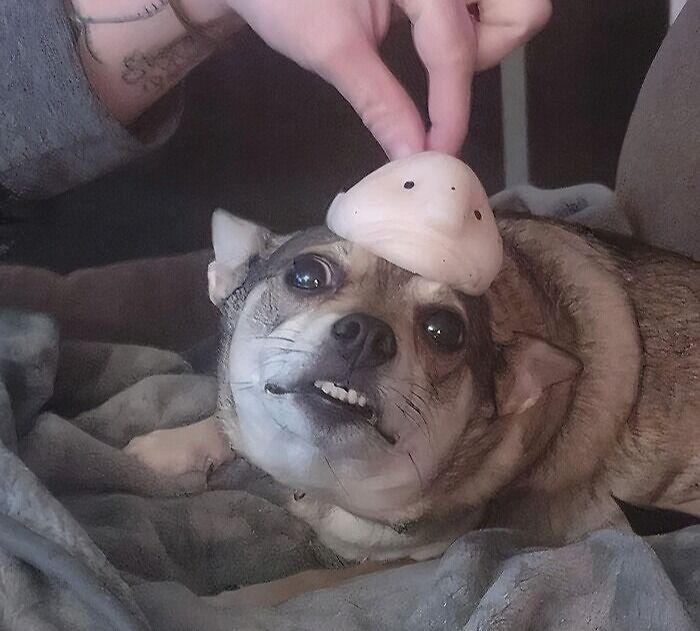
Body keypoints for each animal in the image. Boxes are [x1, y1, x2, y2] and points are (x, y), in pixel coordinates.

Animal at [126, 209, 700, 604]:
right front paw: (169, 447)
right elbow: (222, 423)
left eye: (444, 330)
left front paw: (236, 603)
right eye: (307, 274)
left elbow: (302, 583)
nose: (367, 334)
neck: (324, 477)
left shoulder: (407, 560)